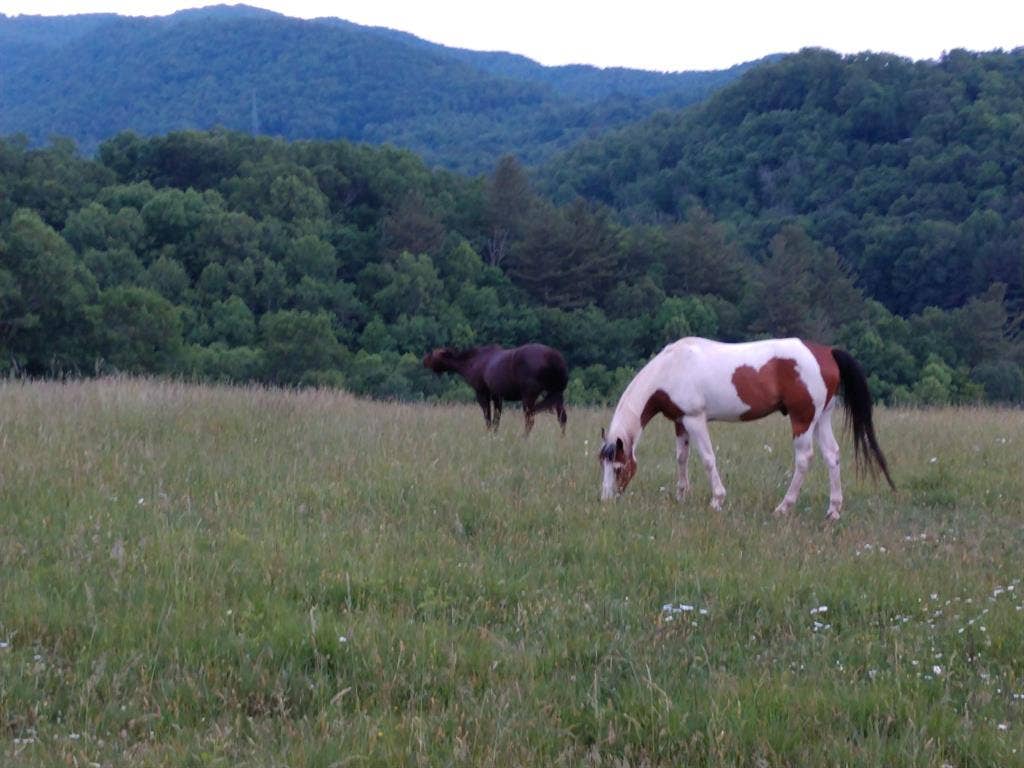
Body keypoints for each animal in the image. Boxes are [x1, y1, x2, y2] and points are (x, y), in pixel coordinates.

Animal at [421, 344, 569, 436]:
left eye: (433, 354)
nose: (424, 360)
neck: (471, 363)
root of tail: (555, 358)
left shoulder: (482, 394)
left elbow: (488, 418)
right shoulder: (497, 396)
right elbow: (497, 420)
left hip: (529, 395)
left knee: (530, 419)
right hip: (557, 394)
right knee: (562, 418)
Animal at [598, 337, 892, 524]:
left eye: (618, 468)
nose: (606, 500)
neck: (672, 367)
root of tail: (826, 352)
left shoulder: (695, 419)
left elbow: (707, 459)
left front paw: (717, 500)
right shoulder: (680, 422)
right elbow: (682, 458)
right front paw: (681, 496)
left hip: (803, 419)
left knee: (804, 459)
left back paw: (784, 507)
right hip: (821, 419)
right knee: (832, 455)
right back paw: (833, 511)